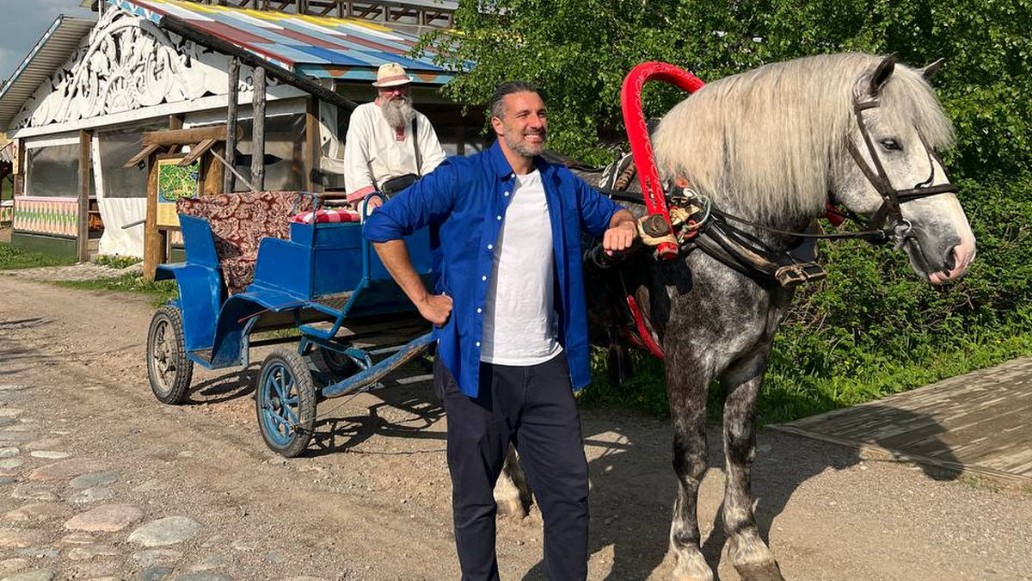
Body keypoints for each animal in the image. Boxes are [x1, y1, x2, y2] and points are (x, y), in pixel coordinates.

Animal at [491, 51, 974, 581]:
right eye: (890, 142)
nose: (960, 250)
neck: (708, 229)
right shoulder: (687, 359)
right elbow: (691, 458)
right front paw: (688, 555)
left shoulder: (751, 356)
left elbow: (740, 447)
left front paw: (747, 544)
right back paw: (507, 493)